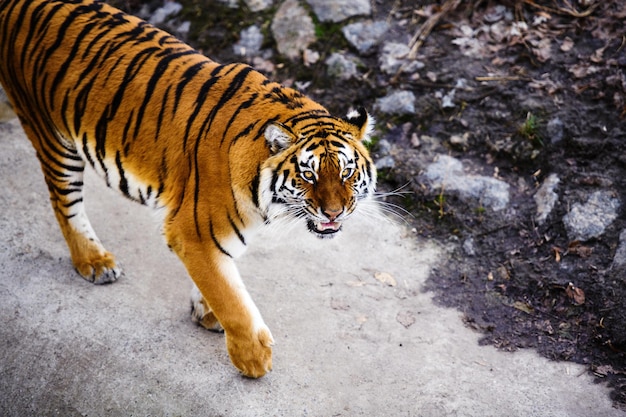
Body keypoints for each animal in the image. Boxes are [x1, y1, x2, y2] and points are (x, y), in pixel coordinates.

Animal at [0, 0, 376, 376]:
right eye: (308, 175)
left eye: (346, 171)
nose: (334, 213)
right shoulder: (192, 230)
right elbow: (230, 297)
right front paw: (253, 358)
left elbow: (218, 279)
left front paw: (206, 312)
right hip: (52, 136)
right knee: (64, 202)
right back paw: (94, 261)